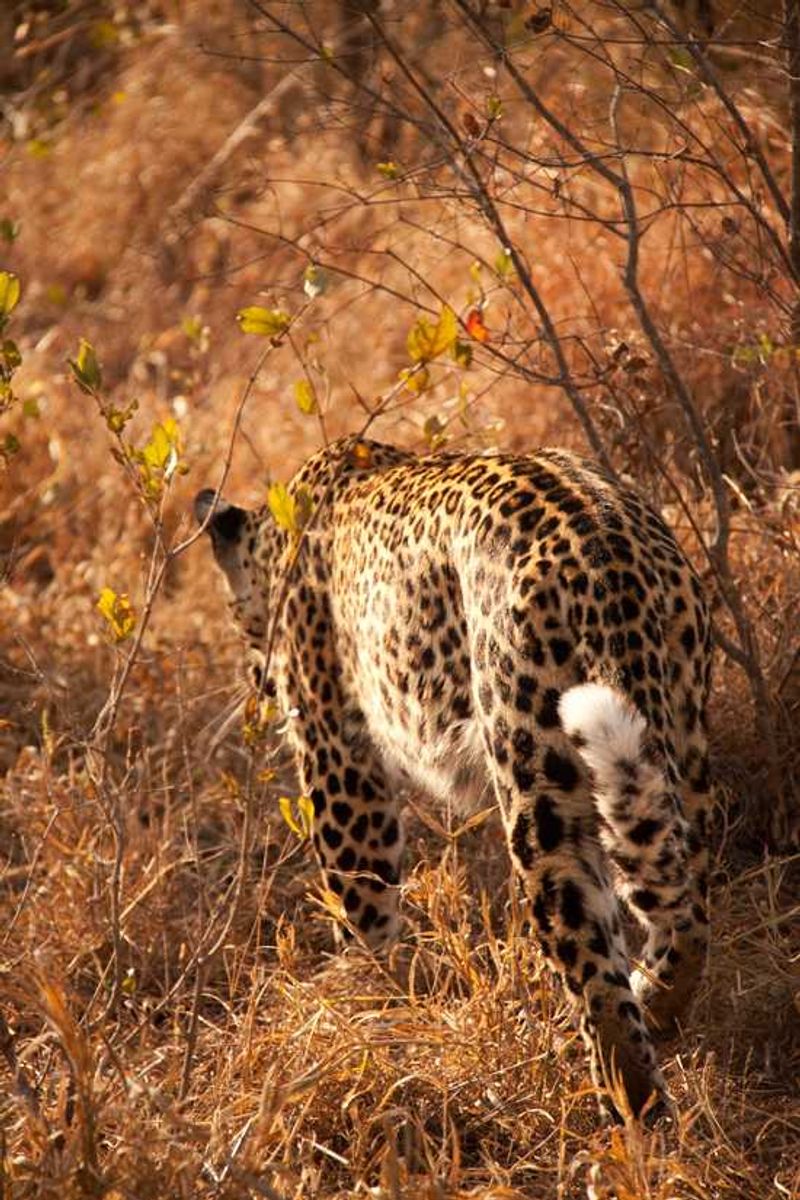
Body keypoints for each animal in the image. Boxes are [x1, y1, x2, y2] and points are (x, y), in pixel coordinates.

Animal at [195, 435, 713, 1123]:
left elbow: (362, 912)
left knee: (595, 964)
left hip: (536, 774)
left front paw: (363, 1012)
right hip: (680, 736)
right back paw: (659, 1006)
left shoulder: (340, 764)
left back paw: (631, 1114)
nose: (260, 679)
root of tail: (608, 560)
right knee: (685, 903)